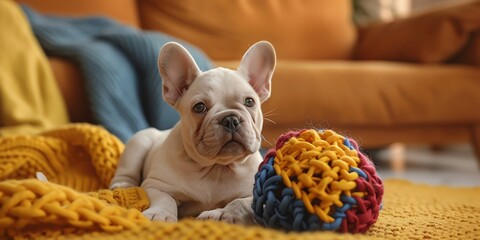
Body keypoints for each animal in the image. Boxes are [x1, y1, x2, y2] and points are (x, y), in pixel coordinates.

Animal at [108, 40, 274, 224]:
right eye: (199, 107)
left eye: (249, 102)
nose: (230, 119)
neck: (217, 167)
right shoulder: (156, 185)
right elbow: (165, 198)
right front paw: (160, 214)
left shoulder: (256, 194)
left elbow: (240, 202)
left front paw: (222, 214)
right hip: (139, 142)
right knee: (126, 171)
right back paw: (123, 186)